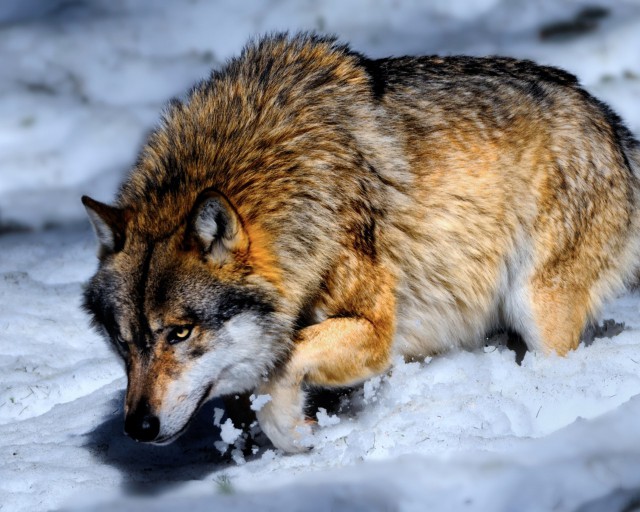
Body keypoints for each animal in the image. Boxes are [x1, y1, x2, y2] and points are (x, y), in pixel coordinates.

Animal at [82, 33, 640, 452]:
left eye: (180, 333)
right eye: (123, 340)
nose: (138, 428)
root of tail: (612, 125)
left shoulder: (375, 333)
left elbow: (283, 365)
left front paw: (295, 433)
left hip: (536, 308)